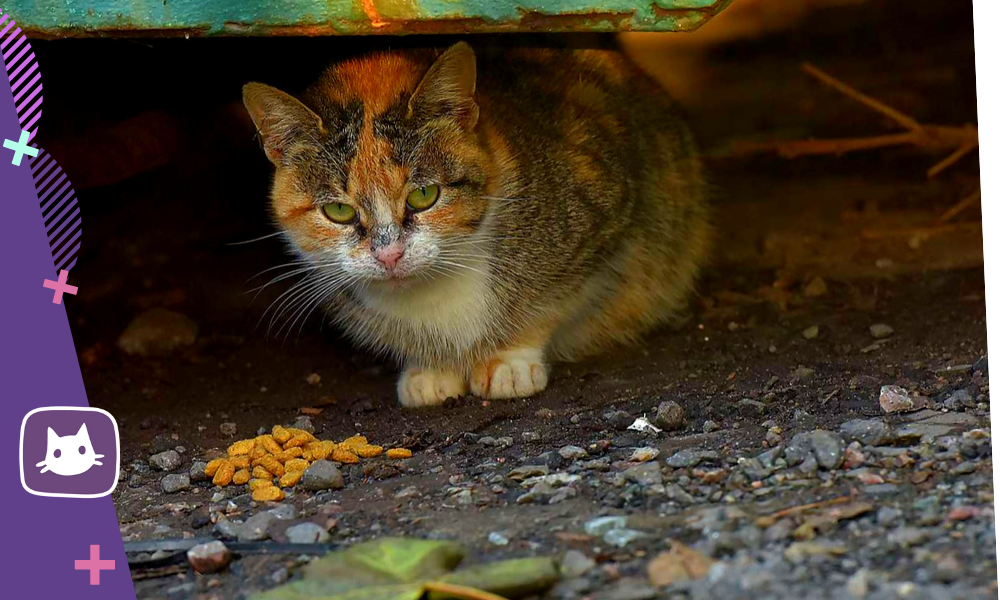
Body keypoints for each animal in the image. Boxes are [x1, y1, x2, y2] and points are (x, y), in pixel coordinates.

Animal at [242, 37, 712, 408]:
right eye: (338, 212)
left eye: (424, 195)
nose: (390, 254)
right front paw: (431, 370)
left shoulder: (604, 213)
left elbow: (551, 301)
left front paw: (509, 361)